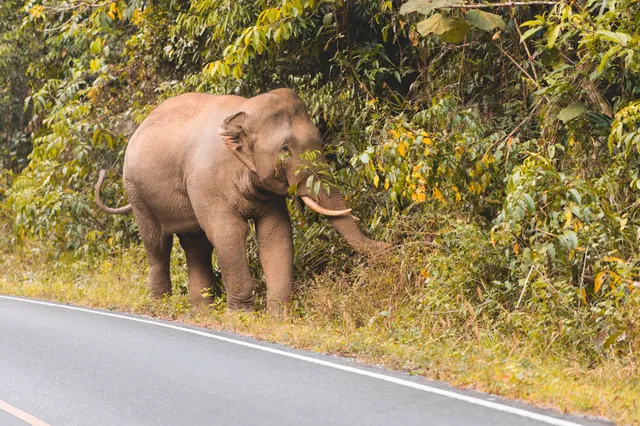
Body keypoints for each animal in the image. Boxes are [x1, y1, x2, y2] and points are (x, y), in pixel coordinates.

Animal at [95, 88, 389, 314]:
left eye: (319, 141)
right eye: (284, 149)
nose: (389, 246)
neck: (244, 112)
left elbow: (276, 233)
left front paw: (278, 316)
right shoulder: (207, 182)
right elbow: (228, 233)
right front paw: (241, 314)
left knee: (197, 247)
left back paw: (203, 312)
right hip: (137, 191)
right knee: (157, 244)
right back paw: (162, 306)